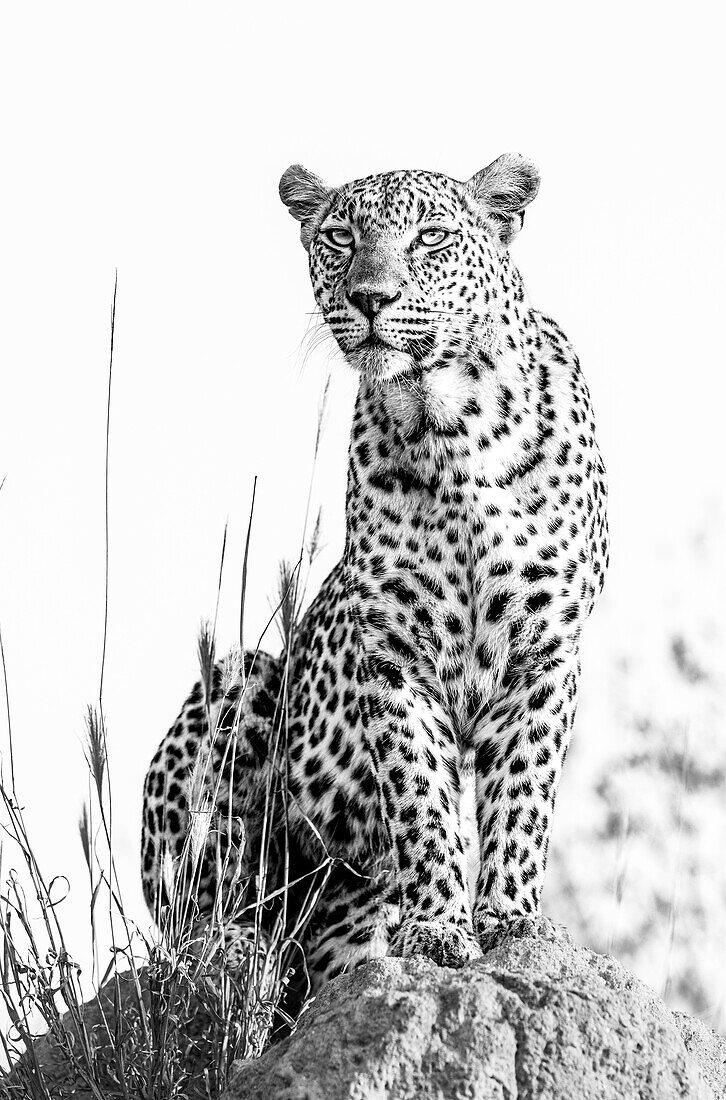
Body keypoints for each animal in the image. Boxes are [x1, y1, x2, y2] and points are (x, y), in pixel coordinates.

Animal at [140, 155, 607, 990]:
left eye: (431, 238)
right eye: (340, 237)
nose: (370, 297)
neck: (452, 424)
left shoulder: (546, 653)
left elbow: (523, 798)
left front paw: (511, 924)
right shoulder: (391, 654)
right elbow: (421, 798)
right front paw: (437, 929)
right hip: (240, 677)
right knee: (202, 894)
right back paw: (232, 950)